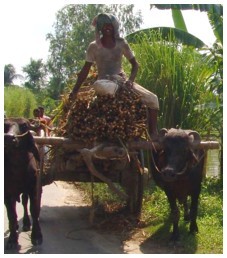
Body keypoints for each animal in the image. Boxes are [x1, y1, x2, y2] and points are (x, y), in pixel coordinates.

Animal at [4, 118, 42, 249]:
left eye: (24, 125)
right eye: (5, 125)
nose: (9, 138)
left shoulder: (34, 188)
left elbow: (34, 210)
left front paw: (36, 236)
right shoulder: (6, 192)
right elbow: (11, 214)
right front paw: (12, 239)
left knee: (25, 202)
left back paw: (26, 223)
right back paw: (16, 225)